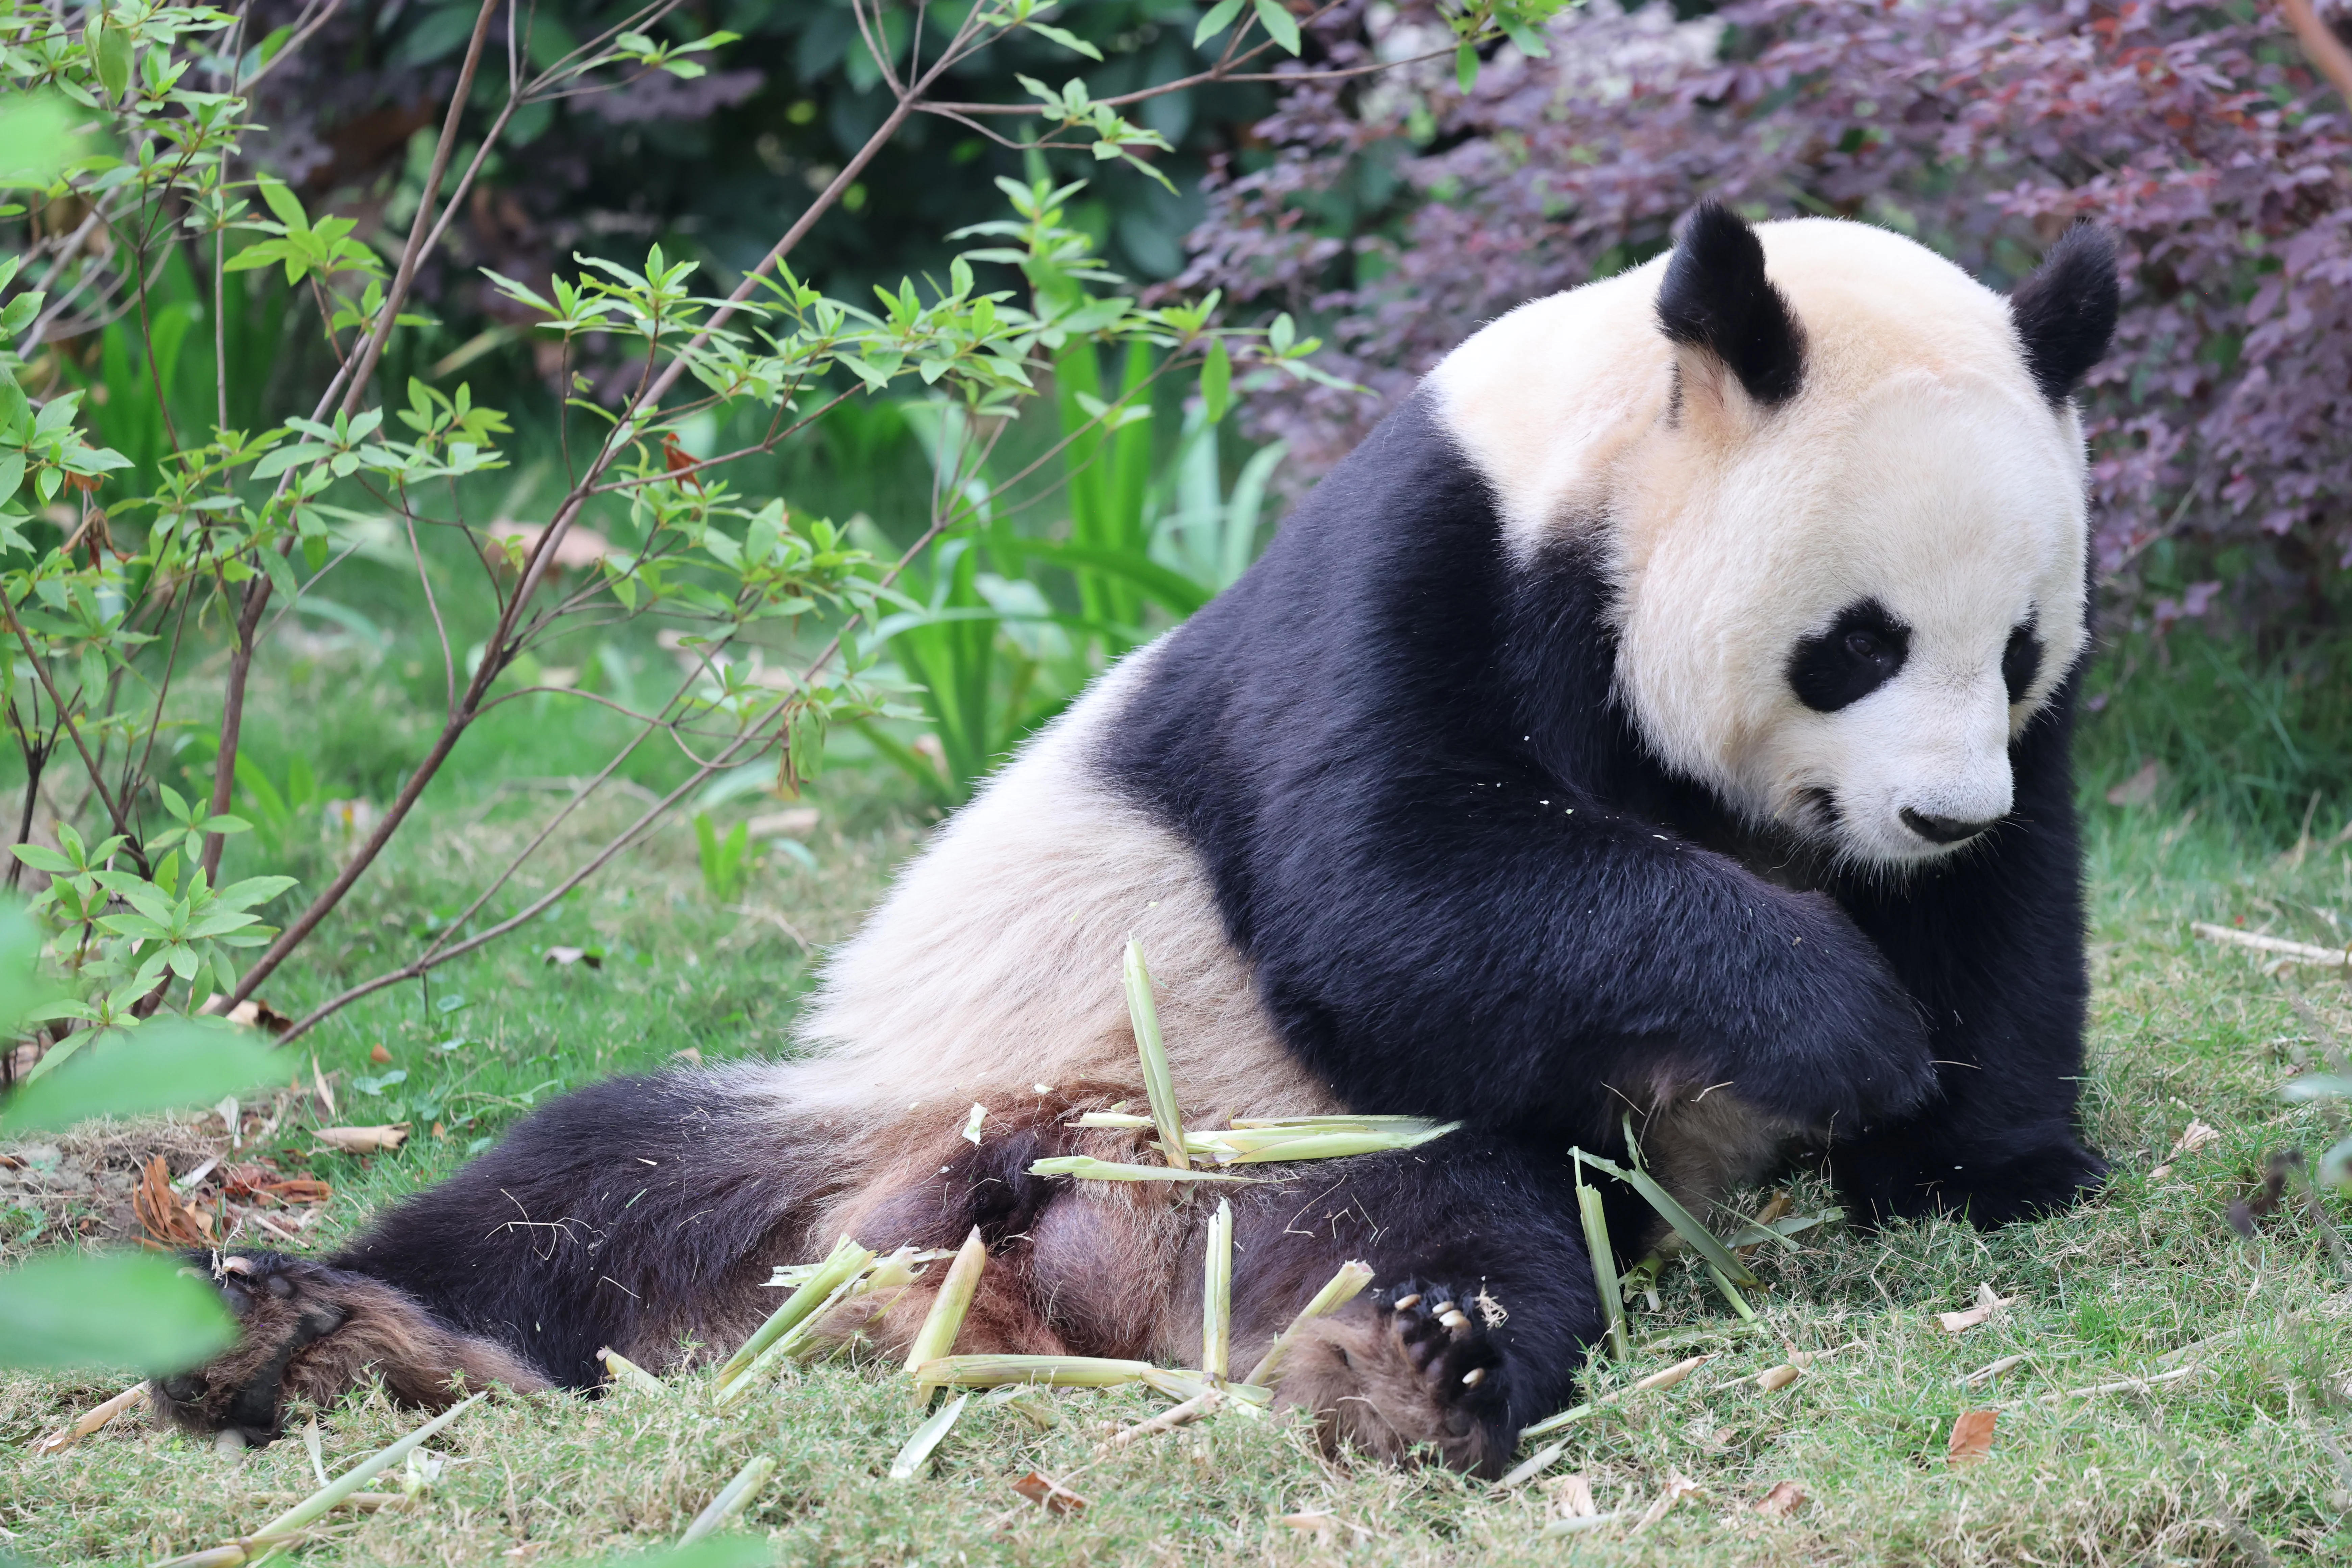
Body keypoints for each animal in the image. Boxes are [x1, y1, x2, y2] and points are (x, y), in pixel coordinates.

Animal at [153, 205, 2118, 1477]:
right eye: (1853, 643)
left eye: (2014, 645)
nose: (1932, 810)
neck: (1608, 451)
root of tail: (1011, 1252)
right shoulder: (1433, 565)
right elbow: (1395, 888)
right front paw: (1843, 1027)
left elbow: (2013, 915)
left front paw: (1984, 1154)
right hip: (914, 1098)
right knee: (574, 1195)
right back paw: (311, 1331)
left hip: (1317, 1163)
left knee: (1474, 1239)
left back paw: (1404, 1367)